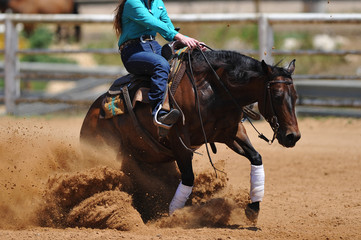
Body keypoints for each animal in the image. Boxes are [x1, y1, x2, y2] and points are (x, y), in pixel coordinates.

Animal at [79, 48, 300, 223]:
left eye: (296, 96)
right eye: (277, 96)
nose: (293, 136)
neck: (214, 90)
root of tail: (90, 117)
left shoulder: (231, 133)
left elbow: (256, 157)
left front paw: (253, 208)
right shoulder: (179, 141)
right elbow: (188, 177)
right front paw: (174, 215)